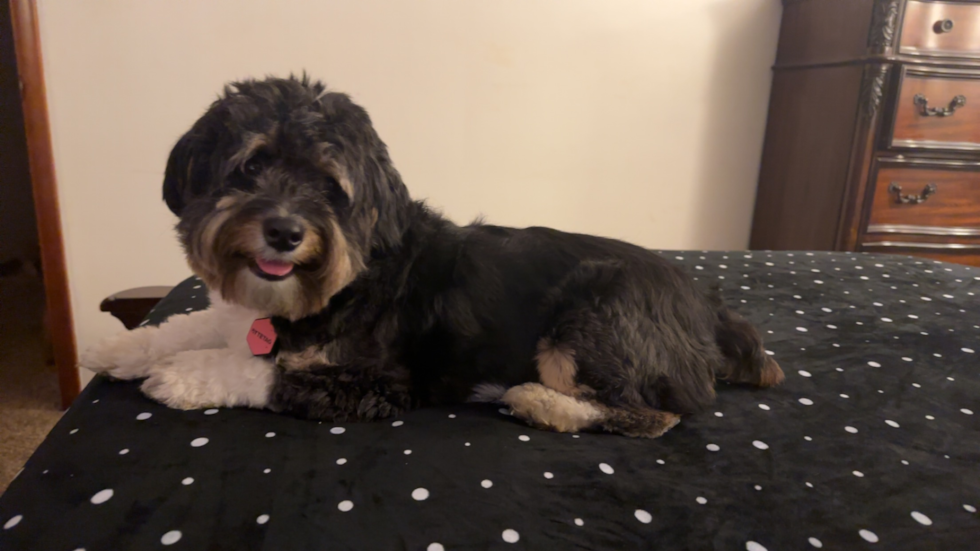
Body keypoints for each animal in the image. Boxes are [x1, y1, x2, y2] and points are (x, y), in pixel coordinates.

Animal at [86, 76, 788, 440]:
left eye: (331, 186)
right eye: (251, 165)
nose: (284, 231)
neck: (339, 285)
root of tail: (712, 311)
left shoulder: (383, 384)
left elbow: (264, 372)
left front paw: (184, 375)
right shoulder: (240, 313)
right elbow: (191, 323)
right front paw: (122, 347)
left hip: (592, 318)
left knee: (659, 413)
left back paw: (539, 402)